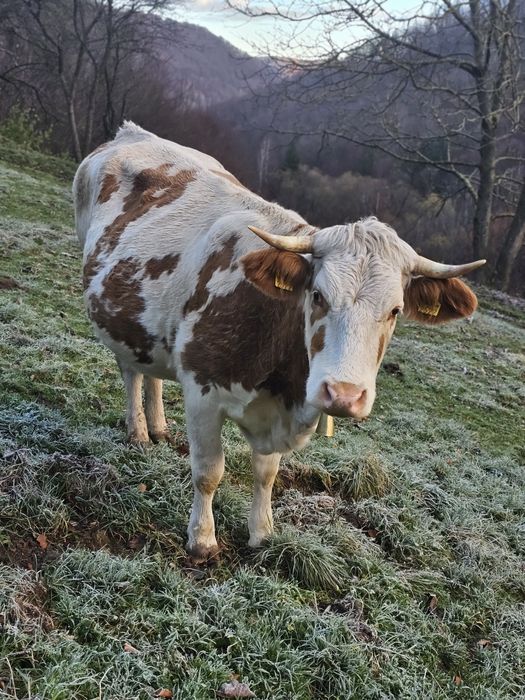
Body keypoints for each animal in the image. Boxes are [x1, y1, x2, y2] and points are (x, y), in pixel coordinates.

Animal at [73, 122, 485, 562]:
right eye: (318, 295)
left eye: (395, 310)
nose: (343, 394)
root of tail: (133, 132)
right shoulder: (202, 391)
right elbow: (209, 472)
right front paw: (202, 538)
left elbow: (267, 473)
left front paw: (262, 532)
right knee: (130, 371)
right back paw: (138, 431)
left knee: (149, 367)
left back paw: (159, 427)